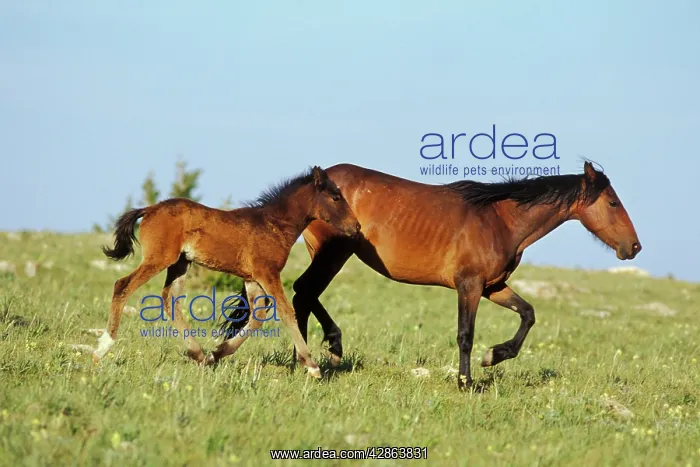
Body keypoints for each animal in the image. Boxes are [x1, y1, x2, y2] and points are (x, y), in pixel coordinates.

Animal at [93, 166, 361, 378]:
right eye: (336, 197)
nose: (356, 226)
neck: (273, 224)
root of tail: (149, 209)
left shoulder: (252, 278)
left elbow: (258, 316)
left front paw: (218, 353)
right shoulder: (267, 272)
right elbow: (286, 312)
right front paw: (312, 365)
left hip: (180, 264)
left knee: (170, 298)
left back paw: (199, 354)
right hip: (159, 258)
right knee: (123, 285)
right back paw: (102, 348)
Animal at [287, 161, 641, 390]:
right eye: (613, 202)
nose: (634, 246)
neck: (500, 220)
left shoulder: (492, 286)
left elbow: (528, 314)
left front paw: (495, 356)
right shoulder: (469, 285)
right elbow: (465, 335)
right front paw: (467, 381)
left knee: (304, 295)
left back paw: (306, 359)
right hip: (333, 253)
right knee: (304, 291)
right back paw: (325, 351)